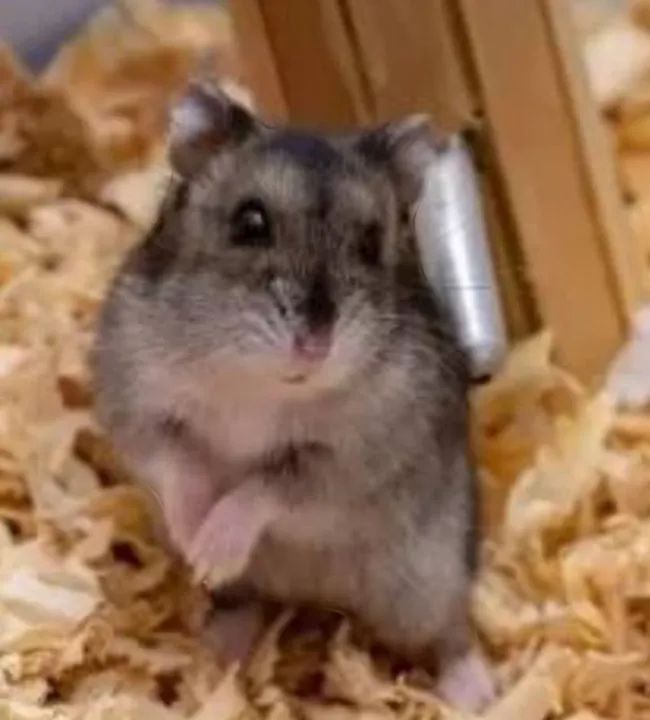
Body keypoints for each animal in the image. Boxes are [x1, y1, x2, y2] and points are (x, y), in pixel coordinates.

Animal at [93, 81, 494, 712]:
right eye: (249, 221)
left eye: (371, 241)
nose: (314, 346)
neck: (256, 383)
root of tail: (313, 595)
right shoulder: (138, 406)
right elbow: (178, 464)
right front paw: (193, 540)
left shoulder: (345, 462)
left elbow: (264, 489)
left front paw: (212, 546)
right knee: (247, 601)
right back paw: (218, 646)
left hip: (426, 581)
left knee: (448, 630)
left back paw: (476, 694)